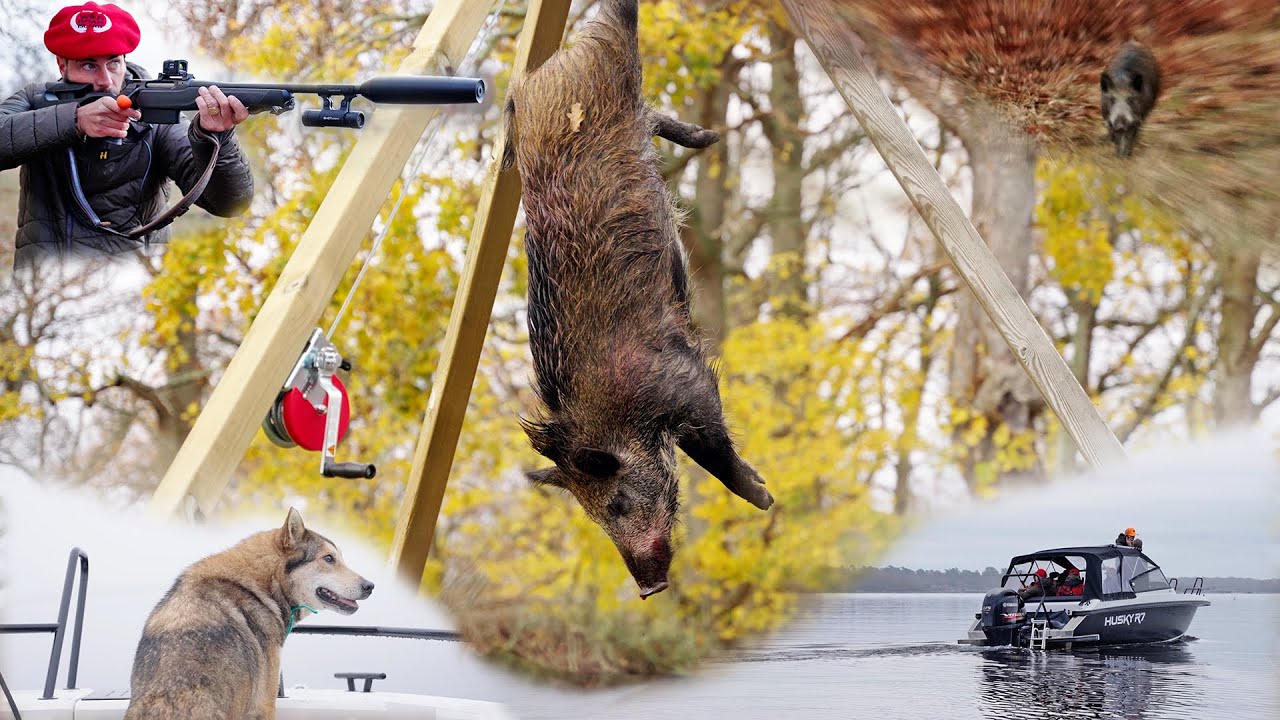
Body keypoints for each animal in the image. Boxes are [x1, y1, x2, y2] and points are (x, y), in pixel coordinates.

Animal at [500, 0, 774, 599]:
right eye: (592, 515)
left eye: (619, 501)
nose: (649, 590)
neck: (613, 411)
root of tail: (555, 68)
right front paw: (767, 493)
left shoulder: (689, 384)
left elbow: (713, 452)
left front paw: (766, 499)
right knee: (654, 116)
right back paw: (710, 138)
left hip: (621, 66)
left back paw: (708, 139)